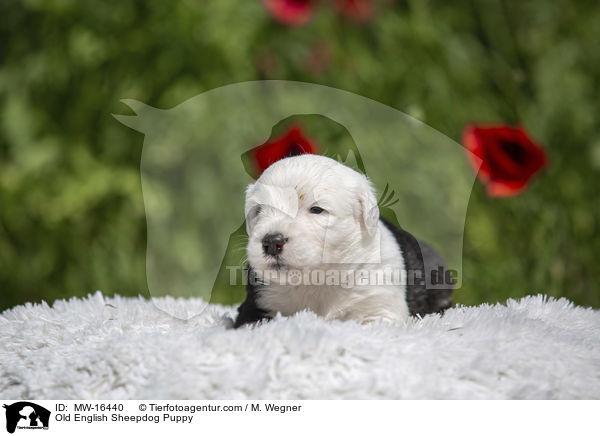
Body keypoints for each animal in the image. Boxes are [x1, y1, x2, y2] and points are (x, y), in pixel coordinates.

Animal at [233, 153, 450, 328]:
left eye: (317, 209)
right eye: (258, 211)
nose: (271, 242)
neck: (317, 281)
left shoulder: (380, 306)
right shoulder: (257, 305)